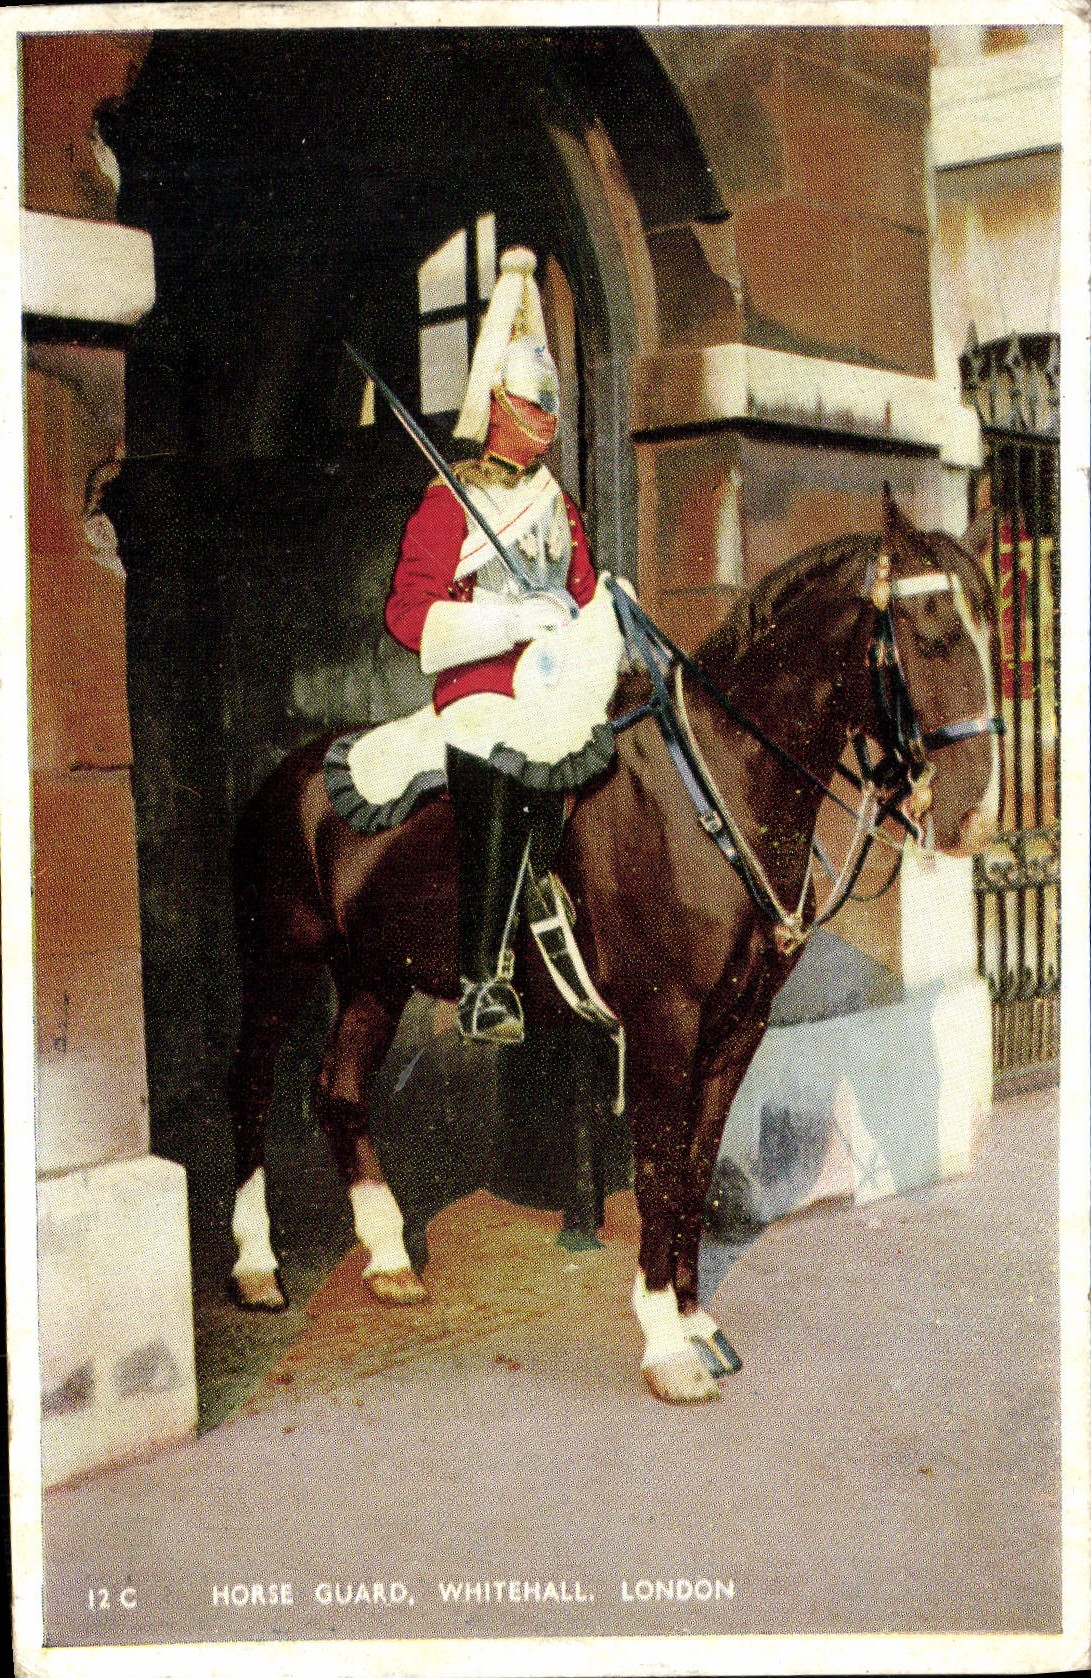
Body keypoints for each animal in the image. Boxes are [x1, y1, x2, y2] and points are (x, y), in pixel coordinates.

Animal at [225, 489, 1001, 1403]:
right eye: (930, 630)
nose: (973, 819)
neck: (716, 786)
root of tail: (299, 770)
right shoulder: (665, 1023)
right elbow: (661, 1170)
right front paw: (666, 1341)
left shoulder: (737, 1027)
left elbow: (696, 1166)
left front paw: (696, 1320)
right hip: (281, 961)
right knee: (251, 1087)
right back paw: (256, 1267)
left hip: (377, 975)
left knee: (339, 1089)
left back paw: (386, 1258)